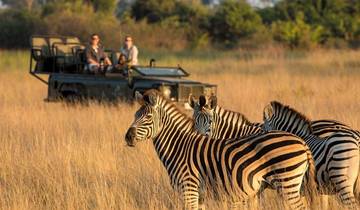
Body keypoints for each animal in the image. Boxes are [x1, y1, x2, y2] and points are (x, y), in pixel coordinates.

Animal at [125, 90, 316, 210]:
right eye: (135, 115)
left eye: (148, 117)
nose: (127, 137)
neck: (179, 147)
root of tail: (302, 142)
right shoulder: (199, 195)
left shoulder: (189, 189)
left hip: (287, 183)